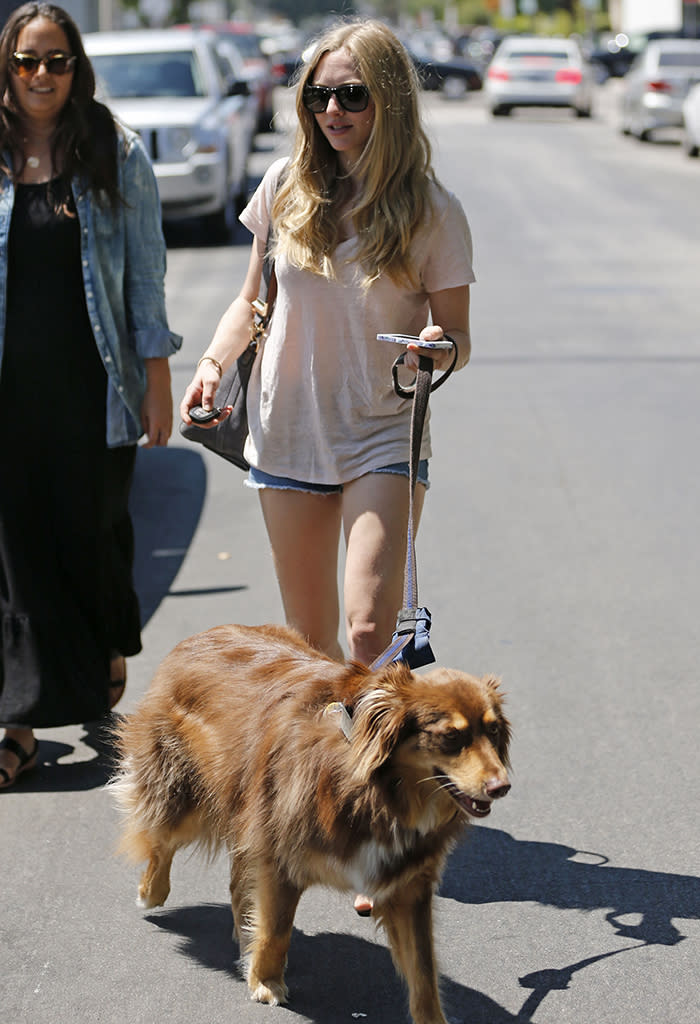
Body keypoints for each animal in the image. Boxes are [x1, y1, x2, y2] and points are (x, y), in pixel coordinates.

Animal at [112, 622, 511, 1024]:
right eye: (451, 736)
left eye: (493, 731)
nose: (502, 786)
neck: (377, 793)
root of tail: (201, 636)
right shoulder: (279, 851)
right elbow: (276, 930)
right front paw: (266, 982)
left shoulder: (407, 881)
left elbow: (423, 968)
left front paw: (432, 1018)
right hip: (189, 794)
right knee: (161, 841)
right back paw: (151, 893)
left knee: (235, 878)